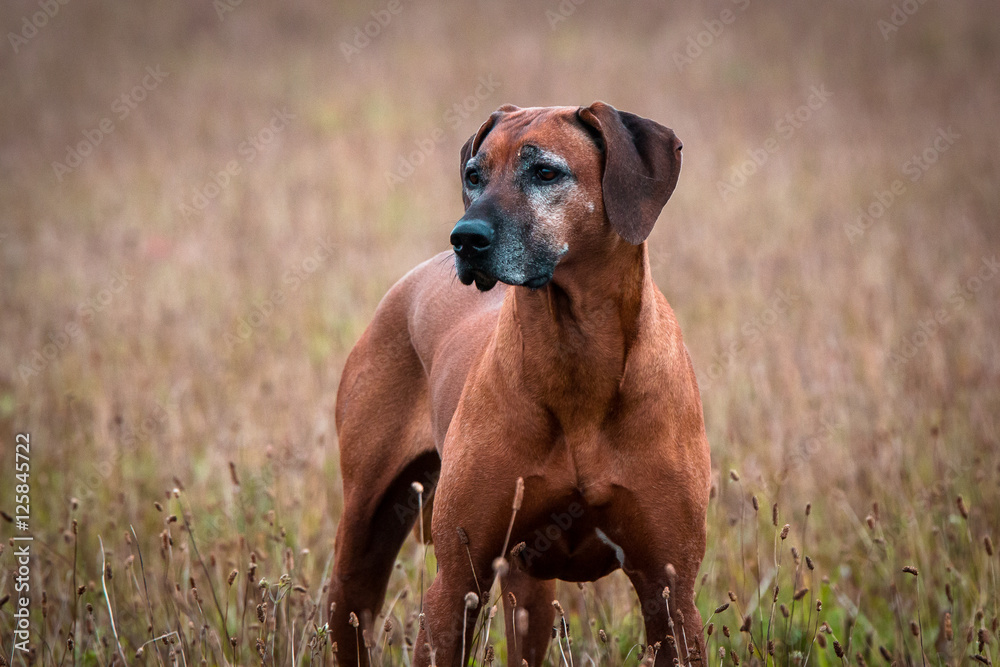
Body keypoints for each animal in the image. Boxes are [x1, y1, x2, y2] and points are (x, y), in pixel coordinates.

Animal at [328, 102, 712, 664]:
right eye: (474, 175)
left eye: (546, 172)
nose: (464, 238)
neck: (576, 355)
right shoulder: (457, 581)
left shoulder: (671, 592)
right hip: (362, 539)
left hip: (529, 590)